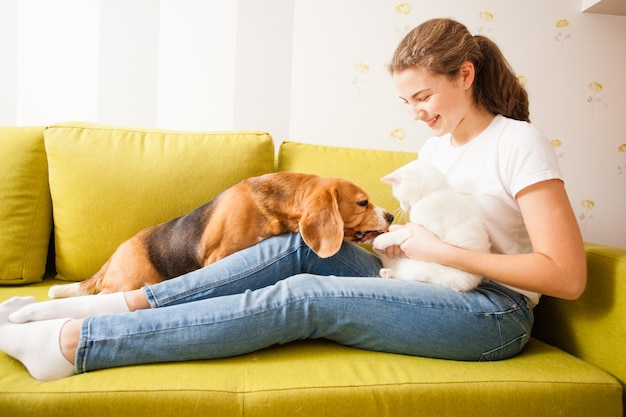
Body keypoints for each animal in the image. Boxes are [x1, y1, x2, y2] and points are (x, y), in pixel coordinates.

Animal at [370, 161, 488, 290]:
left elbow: (409, 231)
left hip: (428, 270)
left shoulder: (434, 231)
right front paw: (396, 227)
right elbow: (409, 226)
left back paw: (388, 270)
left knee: (405, 274)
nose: (403, 207)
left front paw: (384, 238)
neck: (432, 193)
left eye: (399, 197)